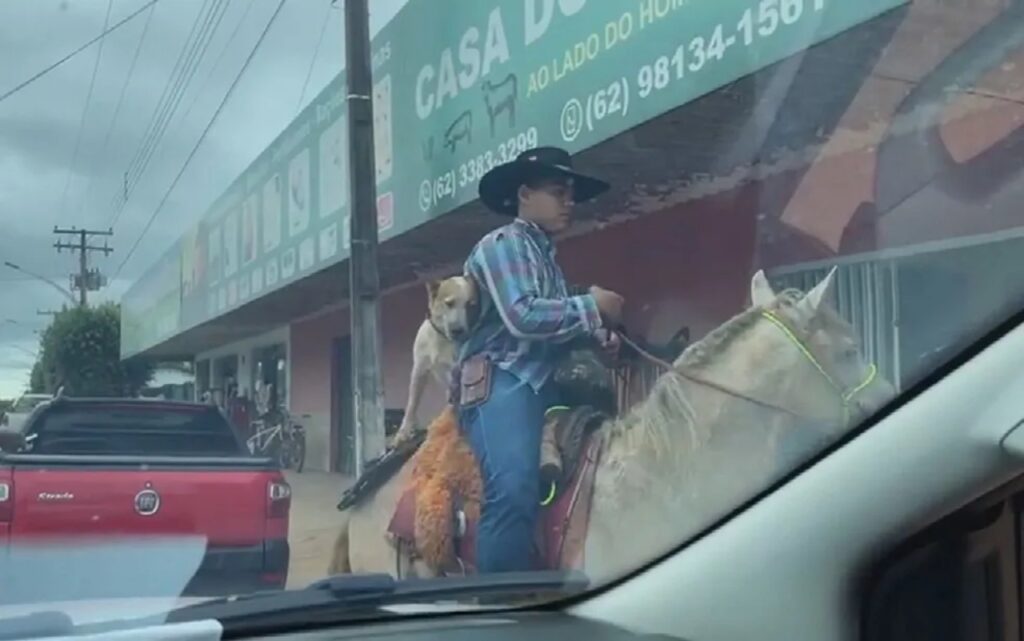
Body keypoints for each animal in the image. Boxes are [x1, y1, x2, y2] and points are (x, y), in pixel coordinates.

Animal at [397, 274, 481, 444]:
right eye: (449, 303)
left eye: (470, 305)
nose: (458, 331)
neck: (441, 339)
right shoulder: (420, 369)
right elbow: (412, 402)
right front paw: (405, 430)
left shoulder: (454, 370)